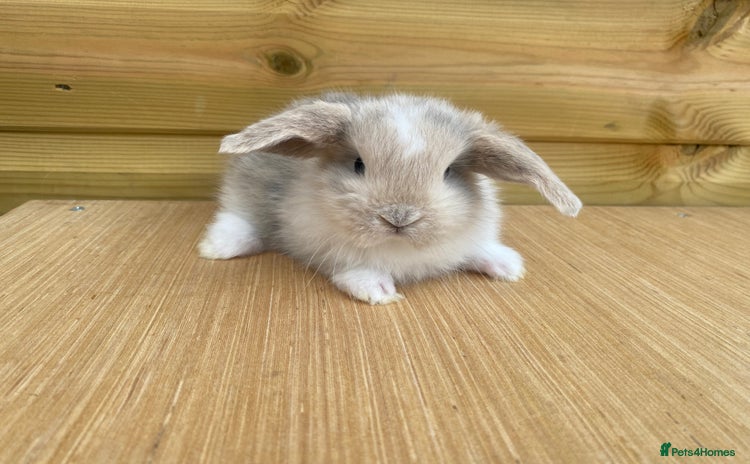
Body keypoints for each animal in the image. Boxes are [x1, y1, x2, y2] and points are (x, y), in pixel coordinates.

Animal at [199, 92, 582, 305]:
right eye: (358, 164)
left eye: (448, 172)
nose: (399, 216)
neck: (401, 249)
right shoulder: (329, 249)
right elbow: (357, 269)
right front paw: (379, 292)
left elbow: (480, 249)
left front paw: (509, 267)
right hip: (246, 193)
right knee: (236, 217)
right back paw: (218, 247)